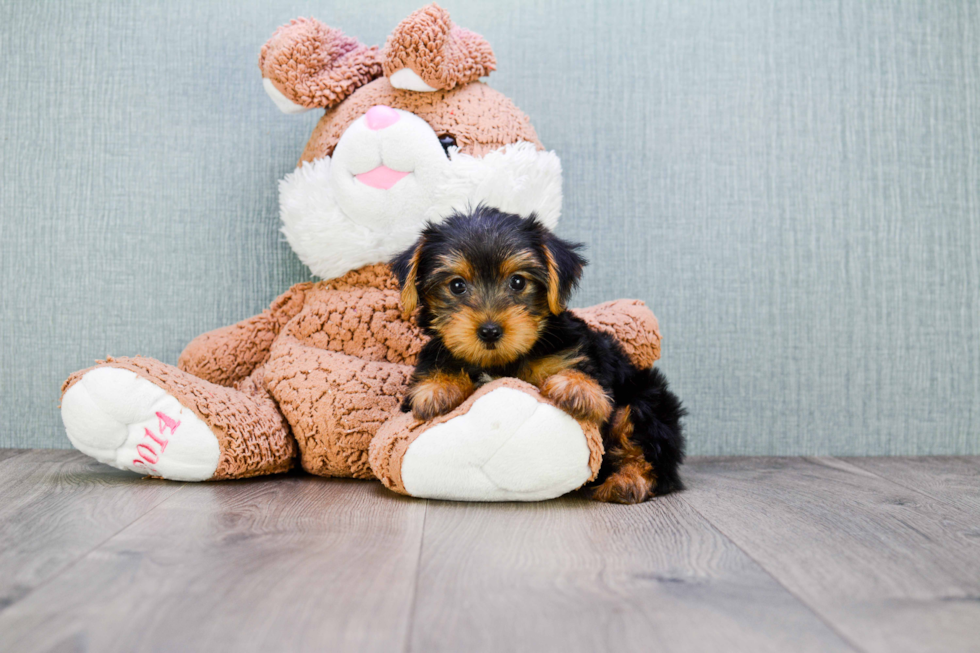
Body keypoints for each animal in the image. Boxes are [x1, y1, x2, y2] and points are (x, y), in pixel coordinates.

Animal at [386, 206, 684, 502]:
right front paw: (438, 389)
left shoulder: (577, 353)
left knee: (648, 449)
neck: (503, 363)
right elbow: (439, 367)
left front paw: (576, 387)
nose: (490, 331)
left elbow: (587, 376)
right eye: (457, 285)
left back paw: (627, 482)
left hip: (645, 400)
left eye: (518, 282)